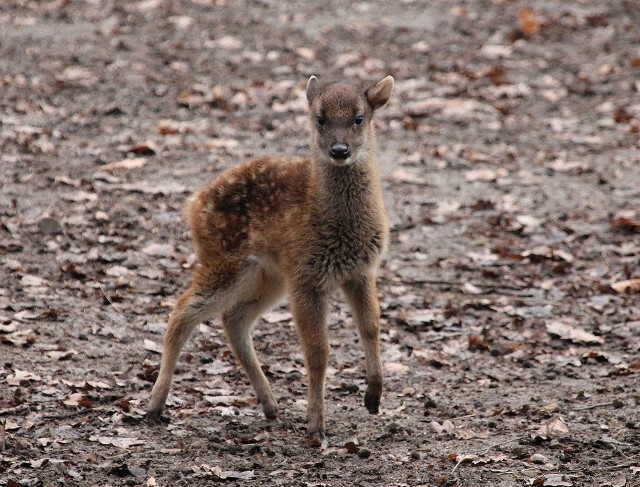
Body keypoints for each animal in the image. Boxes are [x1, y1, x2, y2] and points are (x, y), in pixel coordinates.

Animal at [147, 75, 392, 446]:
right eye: (320, 119)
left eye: (359, 118)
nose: (339, 150)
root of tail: (193, 204)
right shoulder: (306, 277)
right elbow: (318, 353)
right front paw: (315, 427)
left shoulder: (360, 272)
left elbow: (371, 327)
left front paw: (373, 399)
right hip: (225, 260)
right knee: (182, 310)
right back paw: (154, 406)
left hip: (268, 276)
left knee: (233, 318)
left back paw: (270, 405)